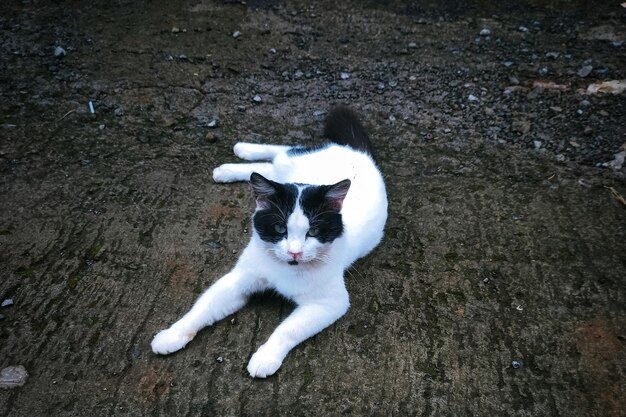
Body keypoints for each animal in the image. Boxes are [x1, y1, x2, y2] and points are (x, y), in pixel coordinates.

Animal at [151, 104, 386, 376]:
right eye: (279, 228)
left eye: (314, 231)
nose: (295, 252)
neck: (285, 269)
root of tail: (357, 152)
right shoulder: (238, 279)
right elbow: (203, 307)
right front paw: (172, 334)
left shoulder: (330, 303)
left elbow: (288, 329)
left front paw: (265, 357)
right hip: (290, 166)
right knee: (280, 155)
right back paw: (238, 155)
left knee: (273, 163)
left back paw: (233, 162)